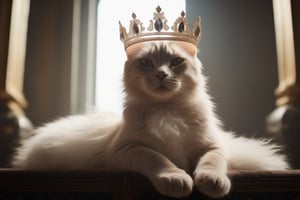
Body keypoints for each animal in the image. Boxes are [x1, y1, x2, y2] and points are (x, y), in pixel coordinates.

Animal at [11, 41, 288, 198]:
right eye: (146, 63)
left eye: (176, 62)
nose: (161, 74)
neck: (167, 111)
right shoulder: (126, 149)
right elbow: (157, 159)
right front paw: (177, 179)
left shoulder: (212, 146)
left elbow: (211, 163)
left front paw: (211, 181)